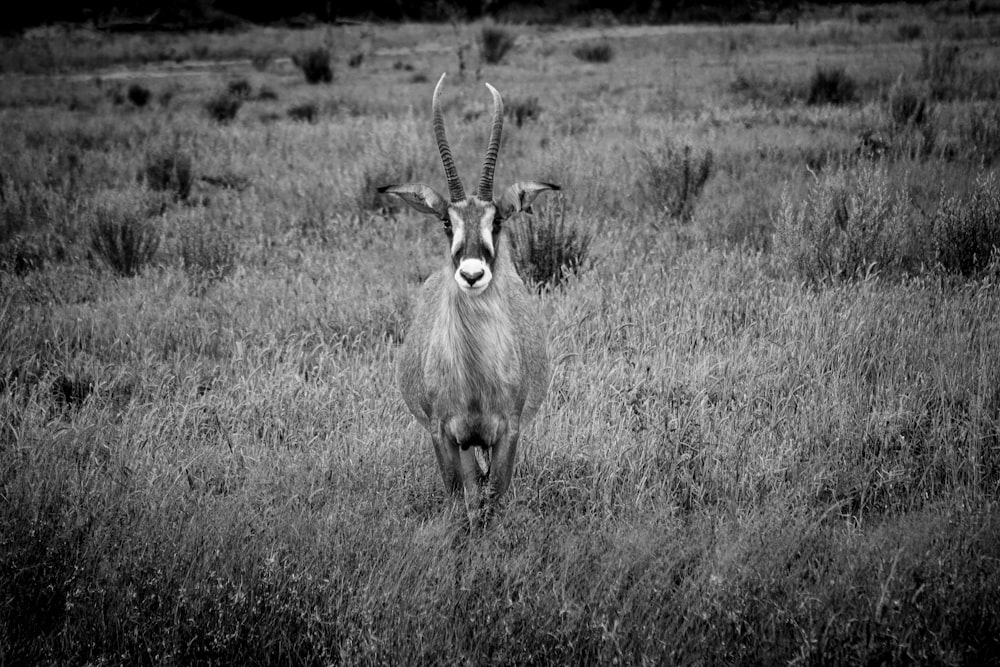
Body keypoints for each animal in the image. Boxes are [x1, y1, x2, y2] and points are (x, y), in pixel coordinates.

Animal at [378, 72, 560, 520]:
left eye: (497, 221)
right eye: (447, 221)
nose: (473, 274)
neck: (475, 375)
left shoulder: (507, 433)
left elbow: (492, 498)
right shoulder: (445, 435)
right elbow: (462, 498)